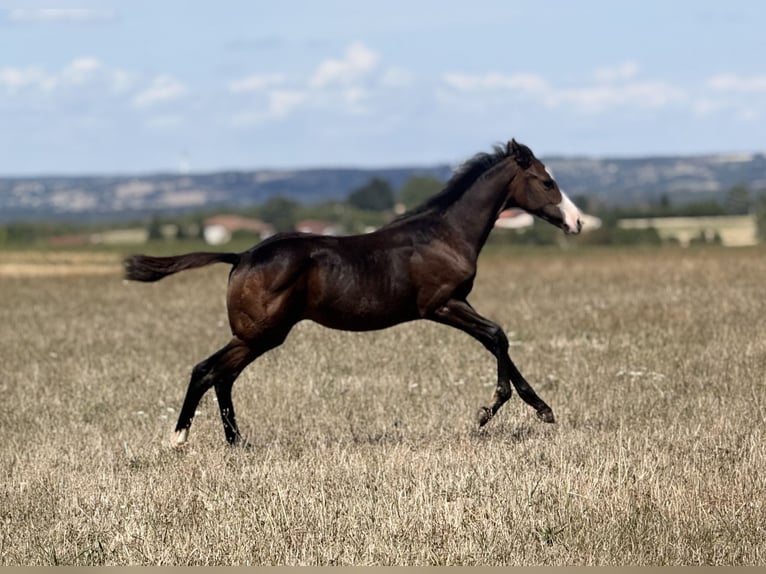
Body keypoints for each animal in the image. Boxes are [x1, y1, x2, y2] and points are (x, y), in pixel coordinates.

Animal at [124, 139, 583, 447]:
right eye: (546, 182)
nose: (577, 223)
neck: (444, 234)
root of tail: (241, 256)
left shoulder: (457, 302)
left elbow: (496, 339)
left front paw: (540, 408)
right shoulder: (441, 304)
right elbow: (497, 335)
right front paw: (490, 410)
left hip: (257, 336)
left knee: (223, 375)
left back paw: (237, 443)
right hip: (261, 333)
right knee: (207, 370)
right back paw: (179, 438)